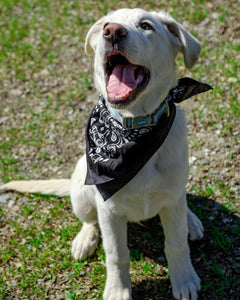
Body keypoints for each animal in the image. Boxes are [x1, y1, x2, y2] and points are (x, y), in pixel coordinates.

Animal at [0, 8, 212, 300]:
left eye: (146, 26)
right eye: (105, 26)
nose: (112, 31)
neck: (133, 128)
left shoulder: (170, 199)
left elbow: (176, 243)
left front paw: (183, 279)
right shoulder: (109, 210)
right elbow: (116, 253)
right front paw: (117, 289)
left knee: (181, 202)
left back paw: (190, 220)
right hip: (83, 192)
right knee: (90, 221)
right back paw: (84, 239)